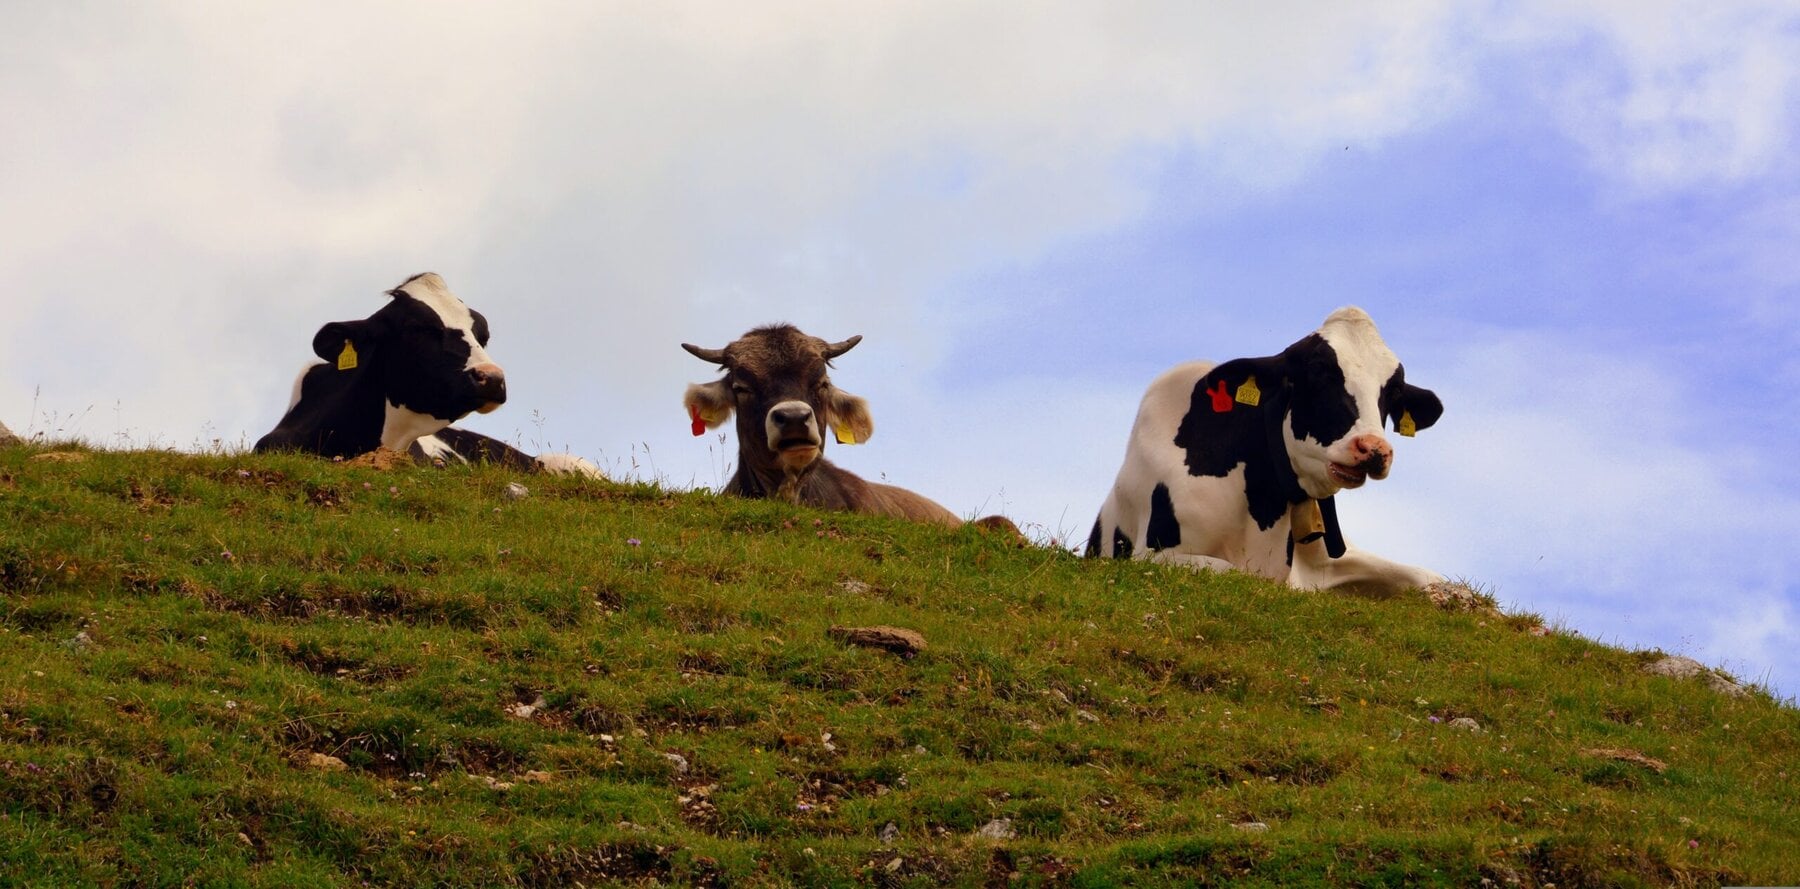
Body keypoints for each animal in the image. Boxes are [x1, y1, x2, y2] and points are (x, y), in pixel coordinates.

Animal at [1085, 307, 1445, 594]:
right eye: (1318, 371)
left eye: (1393, 390)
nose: (1374, 449)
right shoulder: (1151, 554)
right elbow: (1232, 572)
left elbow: (1430, 579)